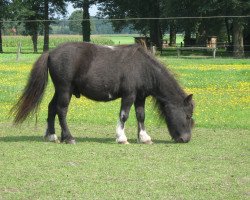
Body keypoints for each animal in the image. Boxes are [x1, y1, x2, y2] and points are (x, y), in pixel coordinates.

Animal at [12, 43, 195, 145]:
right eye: (187, 116)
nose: (186, 139)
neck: (143, 67)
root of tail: (51, 52)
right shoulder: (129, 95)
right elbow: (124, 116)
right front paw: (121, 137)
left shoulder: (140, 97)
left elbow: (141, 116)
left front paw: (144, 138)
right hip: (65, 89)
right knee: (61, 110)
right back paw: (69, 137)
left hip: (60, 90)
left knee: (51, 108)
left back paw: (52, 135)